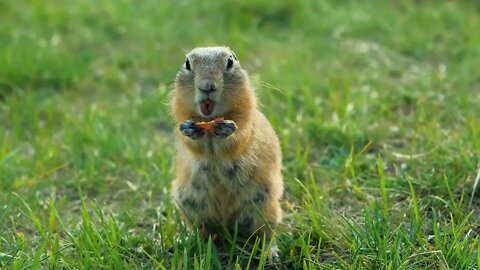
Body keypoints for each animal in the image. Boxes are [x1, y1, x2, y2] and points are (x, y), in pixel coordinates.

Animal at [171, 46, 284, 255]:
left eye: (230, 62)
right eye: (187, 64)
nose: (207, 86)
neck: (209, 126)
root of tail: (226, 223)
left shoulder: (246, 118)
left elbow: (239, 138)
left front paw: (227, 130)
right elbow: (191, 145)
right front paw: (189, 129)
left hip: (265, 206)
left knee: (266, 233)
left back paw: (270, 252)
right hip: (189, 204)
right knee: (204, 231)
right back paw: (189, 243)